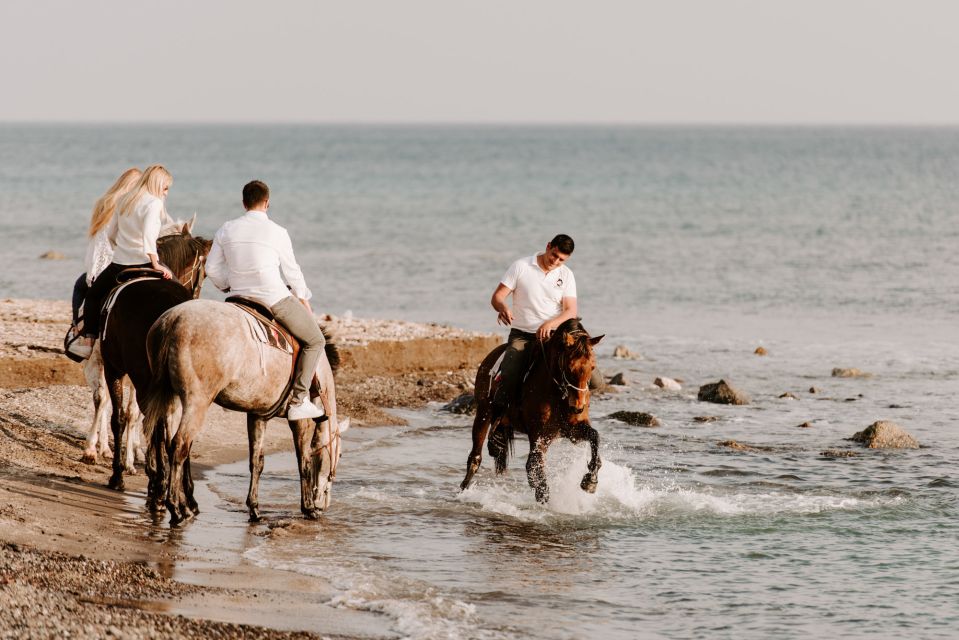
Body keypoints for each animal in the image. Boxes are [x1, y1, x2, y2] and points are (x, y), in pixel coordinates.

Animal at [142, 300, 348, 524]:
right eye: (340, 453)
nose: (324, 504)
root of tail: (173, 320)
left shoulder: (258, 416)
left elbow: (257, 462)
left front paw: (255, 509)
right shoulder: (302, 421)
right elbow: (304, 462)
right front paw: (308, 508)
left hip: (173, 399)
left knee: (170, 444)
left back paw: (181, 506)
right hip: (196, 402)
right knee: (180, 446)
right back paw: (177, 510)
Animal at [460, 318, 608, 502]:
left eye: (592, 367)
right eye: (569, 367)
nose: (578, 407)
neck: (558, 394)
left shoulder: (572, 431)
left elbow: (595, 437)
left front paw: (590, 481)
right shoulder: (540, 435)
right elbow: (534, 469)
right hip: (483, 413)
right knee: (475, 456)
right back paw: (463, 491)